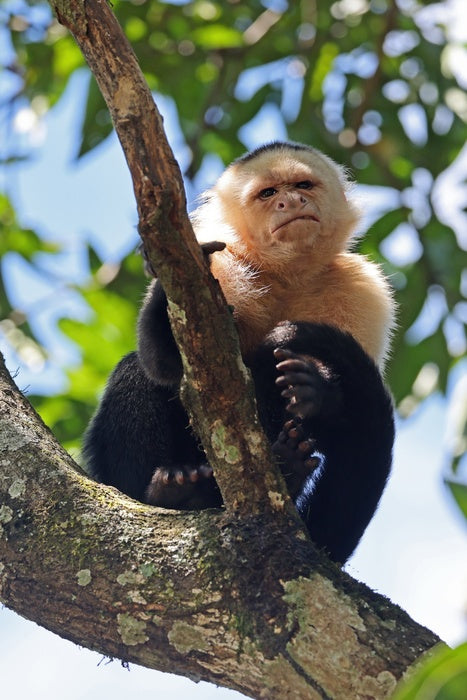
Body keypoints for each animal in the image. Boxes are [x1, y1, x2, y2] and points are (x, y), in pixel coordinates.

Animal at [83, 141, 394, 564]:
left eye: (303, 185)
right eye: (268, 193)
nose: (290, 201)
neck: (285, 276)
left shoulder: (363, 288)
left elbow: (346, 409)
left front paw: (315, 391)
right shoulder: (225, 261)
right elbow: (162, 364)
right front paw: (163, 269)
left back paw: (287, 467)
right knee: (137, 373)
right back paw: (169, 493)